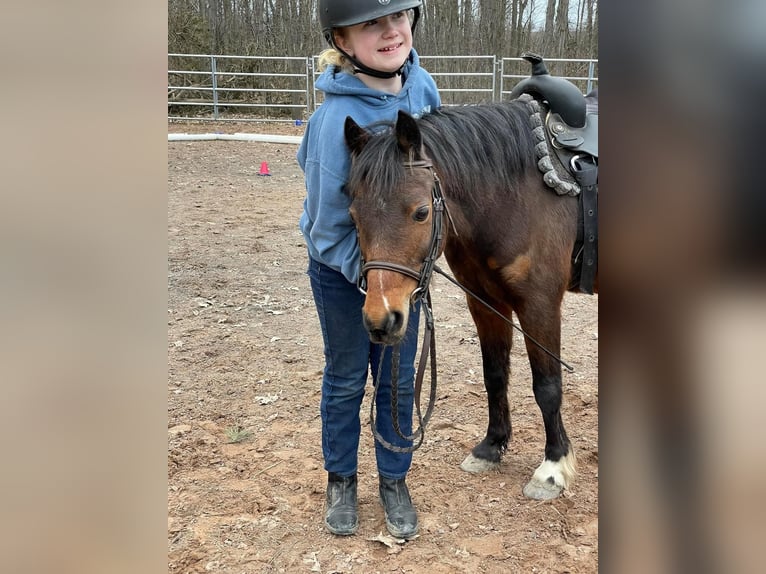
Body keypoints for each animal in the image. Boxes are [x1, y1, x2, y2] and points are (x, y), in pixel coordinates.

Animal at [344, 102, 596, 500]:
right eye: (353, 216)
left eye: (421, 212)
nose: (382, 319)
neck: (514, 195)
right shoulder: (485, 303)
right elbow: (494, 375)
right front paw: (491, 447)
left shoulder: (539, 305)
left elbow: (548, 386)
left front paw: (553, 467)